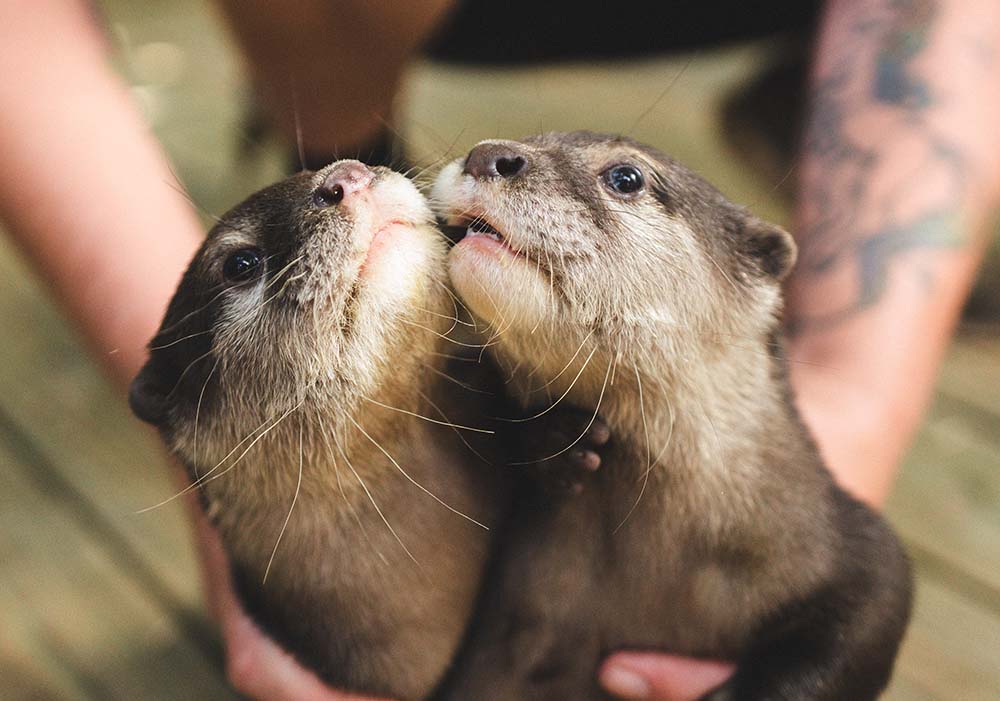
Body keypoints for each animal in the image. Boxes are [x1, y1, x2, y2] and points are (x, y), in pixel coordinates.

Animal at [430, 132, 912, 700]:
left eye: (626, 177)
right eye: (539, 137)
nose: (488, 154)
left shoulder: (844, 541)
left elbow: (873, 609)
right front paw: (556, 441)